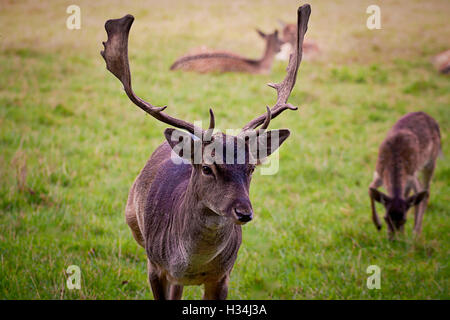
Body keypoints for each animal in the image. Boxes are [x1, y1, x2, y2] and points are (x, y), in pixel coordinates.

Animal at [100, 4, 312, 300]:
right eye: (207, 168)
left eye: (251, 168)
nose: (244, 213)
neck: (190, 264)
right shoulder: (154, 266)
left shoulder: (222, 276)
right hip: (134, 223)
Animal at [370, 111, 442, 239]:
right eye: (385, 218)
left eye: (404, 220)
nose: (392, 239)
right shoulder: (379, 172)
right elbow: (370, 189)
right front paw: (377, 224)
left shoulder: (410, 176)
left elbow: (415, 194)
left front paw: (408, 233)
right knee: (416, 192)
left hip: (430, 162)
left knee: (425, 192)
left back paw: (416, 232)